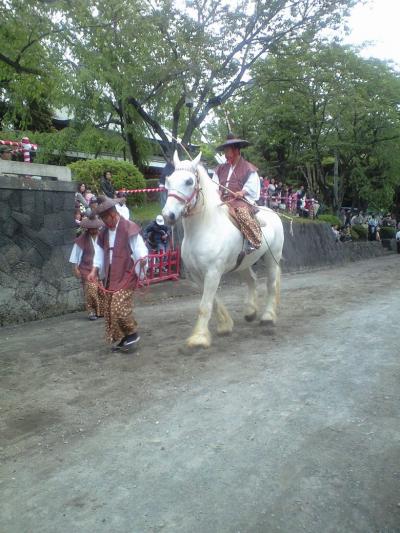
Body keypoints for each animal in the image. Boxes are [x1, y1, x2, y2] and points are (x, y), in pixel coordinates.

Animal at [162, 151, 284, 350]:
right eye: (169, 180)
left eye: (189, 181)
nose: (168, 215)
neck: (204, 228)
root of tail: (273, 212)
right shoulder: (198, 275)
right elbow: (212, 301)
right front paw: (225, 325)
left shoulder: (213, 272)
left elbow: (205, 305)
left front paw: (199, 338)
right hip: (243, 263)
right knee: (251, 281)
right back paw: (250, 311)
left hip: (272, 258)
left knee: (271, 285)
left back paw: (267, 317)